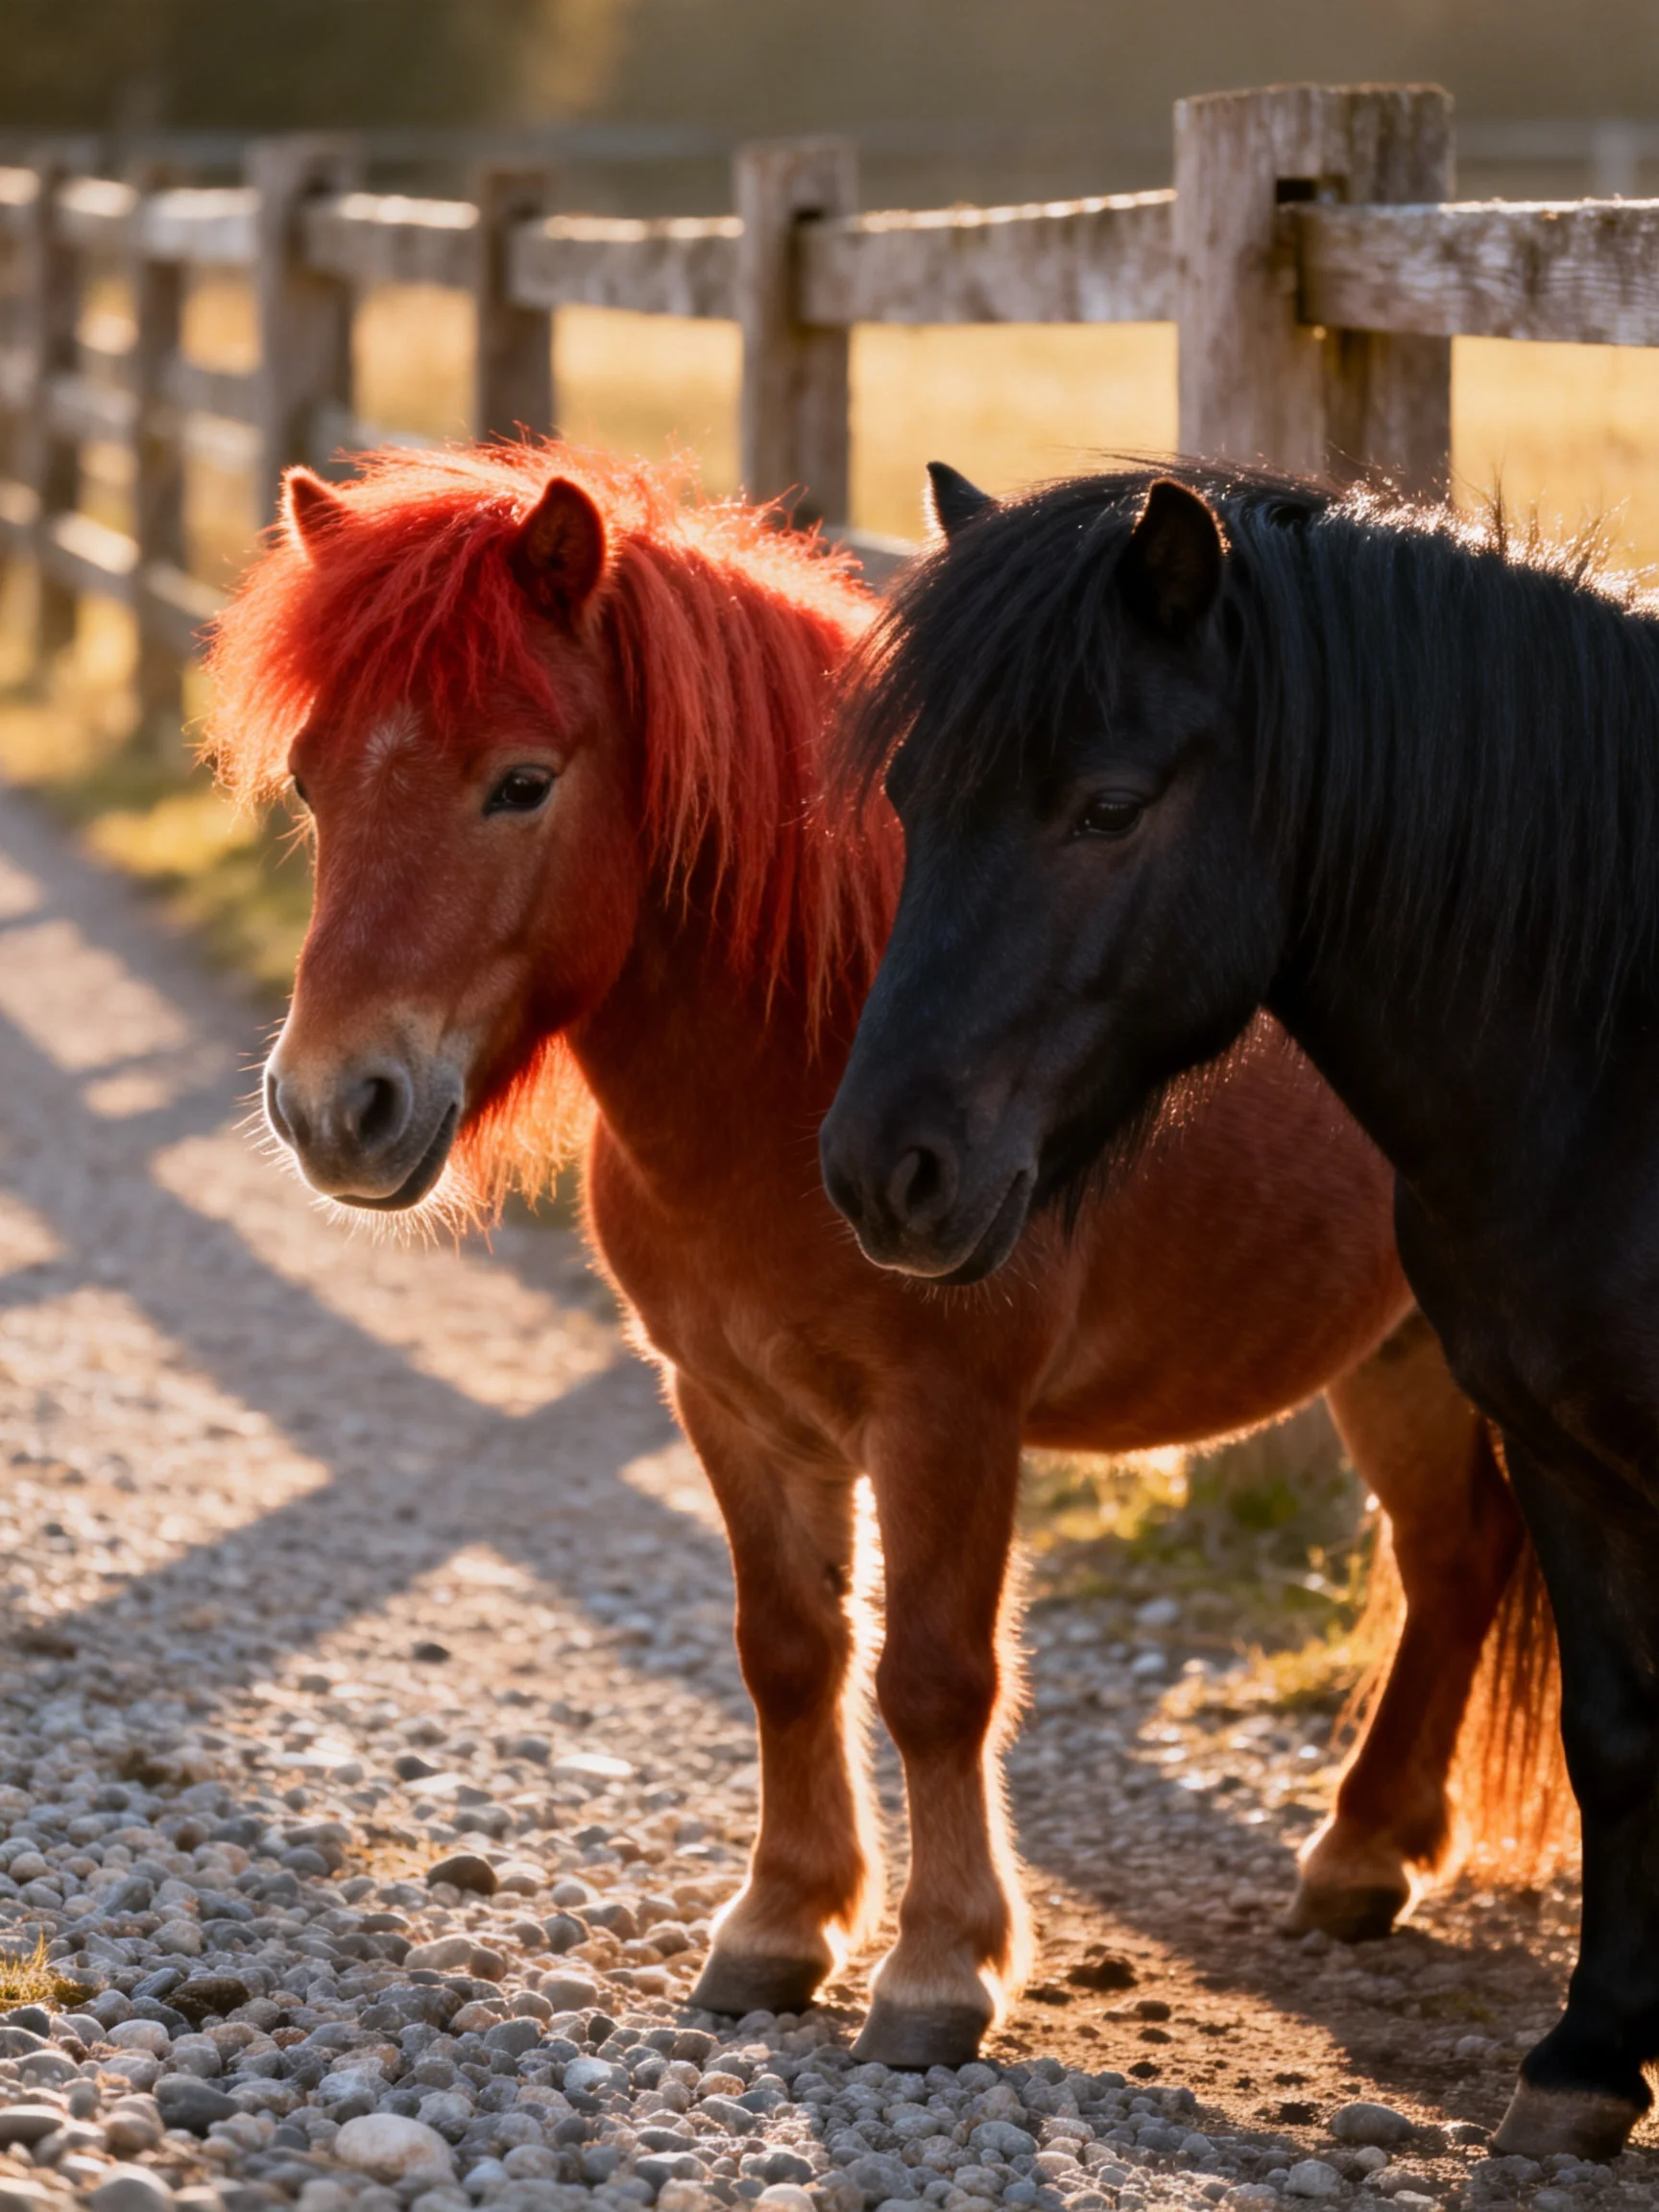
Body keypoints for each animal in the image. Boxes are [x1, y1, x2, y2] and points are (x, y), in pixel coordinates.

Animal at [206, 440, 1561, 2073]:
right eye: (313, 779)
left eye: (520, 784)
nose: (334, 1107)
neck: (802, 1065)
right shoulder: (729, 1403)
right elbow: (790, 1647)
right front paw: (780, 1926)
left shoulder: (947, 1416)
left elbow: (933, 1675)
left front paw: (938, 1967)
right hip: (1397, 1353)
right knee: (1454, 1557)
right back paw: (1365, 1853)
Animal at [818, 456, 1659, 2153]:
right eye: (913, 801)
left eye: (1109, 807)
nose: (885, 1172)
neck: (1630, 1062)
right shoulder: (1566, 1452)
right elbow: (1618, 1737)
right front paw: (1592, 2062)